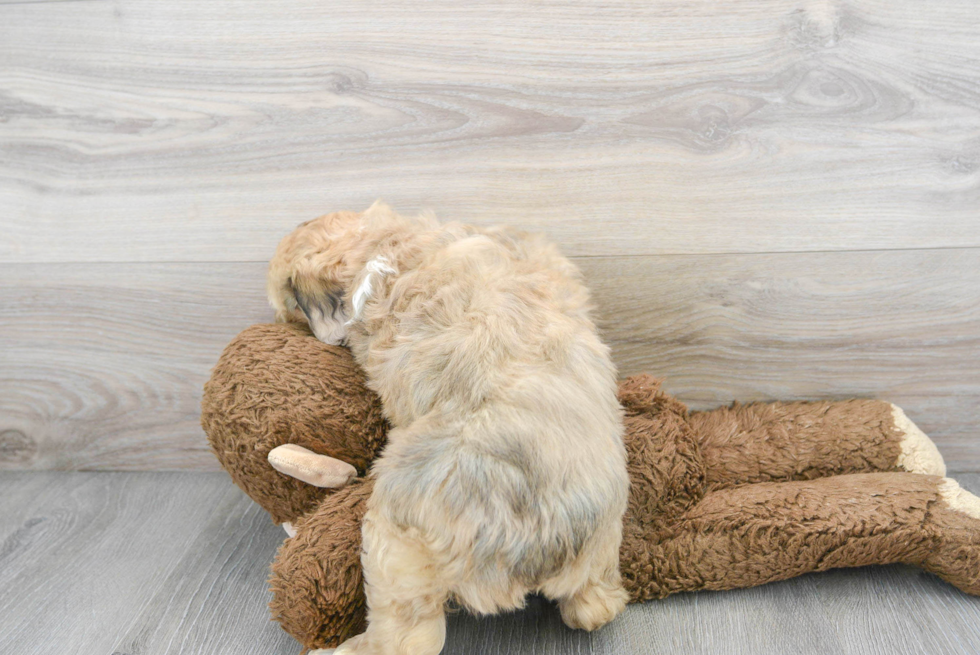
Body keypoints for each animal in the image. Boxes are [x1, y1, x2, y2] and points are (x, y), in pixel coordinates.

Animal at [266, 202, 628, 652]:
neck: (384, 242)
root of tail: (539, 547)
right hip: (601, 550)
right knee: (596, 605)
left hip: (395, 540)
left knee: (409, 636)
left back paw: (346, 646)